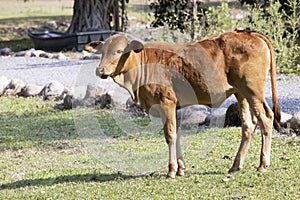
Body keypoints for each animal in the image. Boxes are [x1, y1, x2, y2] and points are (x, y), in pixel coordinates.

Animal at [86, 29, 282, 178]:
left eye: (119, 51)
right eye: (102, 51)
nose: (99, 70)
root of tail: (250, 33)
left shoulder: (166, 102)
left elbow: (170, 135)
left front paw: (172, 170)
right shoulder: (173, 107)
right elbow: (177, 133)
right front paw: (181, 168)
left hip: (253, 90)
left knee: (266, 118)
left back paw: (263, 164)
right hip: (241, 93)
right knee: (249, 125)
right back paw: (236, 165)